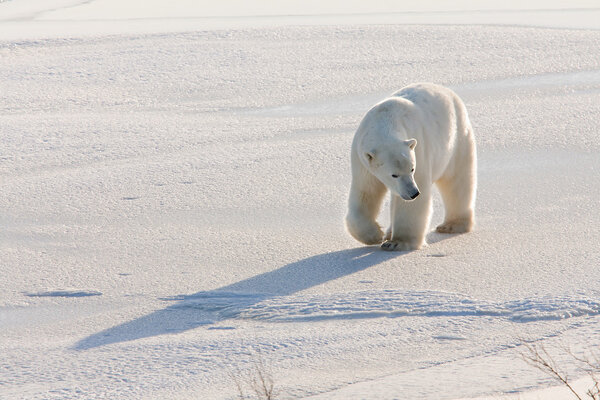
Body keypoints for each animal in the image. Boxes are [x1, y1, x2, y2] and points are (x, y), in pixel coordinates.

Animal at [344, 82, 476, 250]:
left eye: (412, 169)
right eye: (394, 174)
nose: (413, 193)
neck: (386, 119)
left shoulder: (419, 149)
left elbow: (412, 203)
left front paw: (397, 242)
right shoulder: (362, 161)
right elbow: (366, 192)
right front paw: (375, 236)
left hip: (457, 140)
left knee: (457, 182)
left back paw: (451, 225)